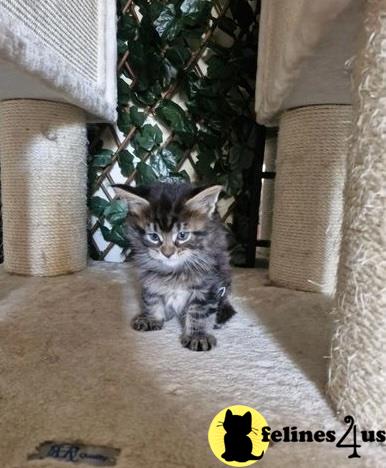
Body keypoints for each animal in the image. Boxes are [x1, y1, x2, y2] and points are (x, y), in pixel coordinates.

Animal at [112, 183, 235, 352]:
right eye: (154, 236)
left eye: (182, 235)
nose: (167, 253)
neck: (174, 270)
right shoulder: (149, 277)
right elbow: (151, 298)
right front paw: (152, 318)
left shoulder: (208, 284)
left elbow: (197, 312)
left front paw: (197, 336)